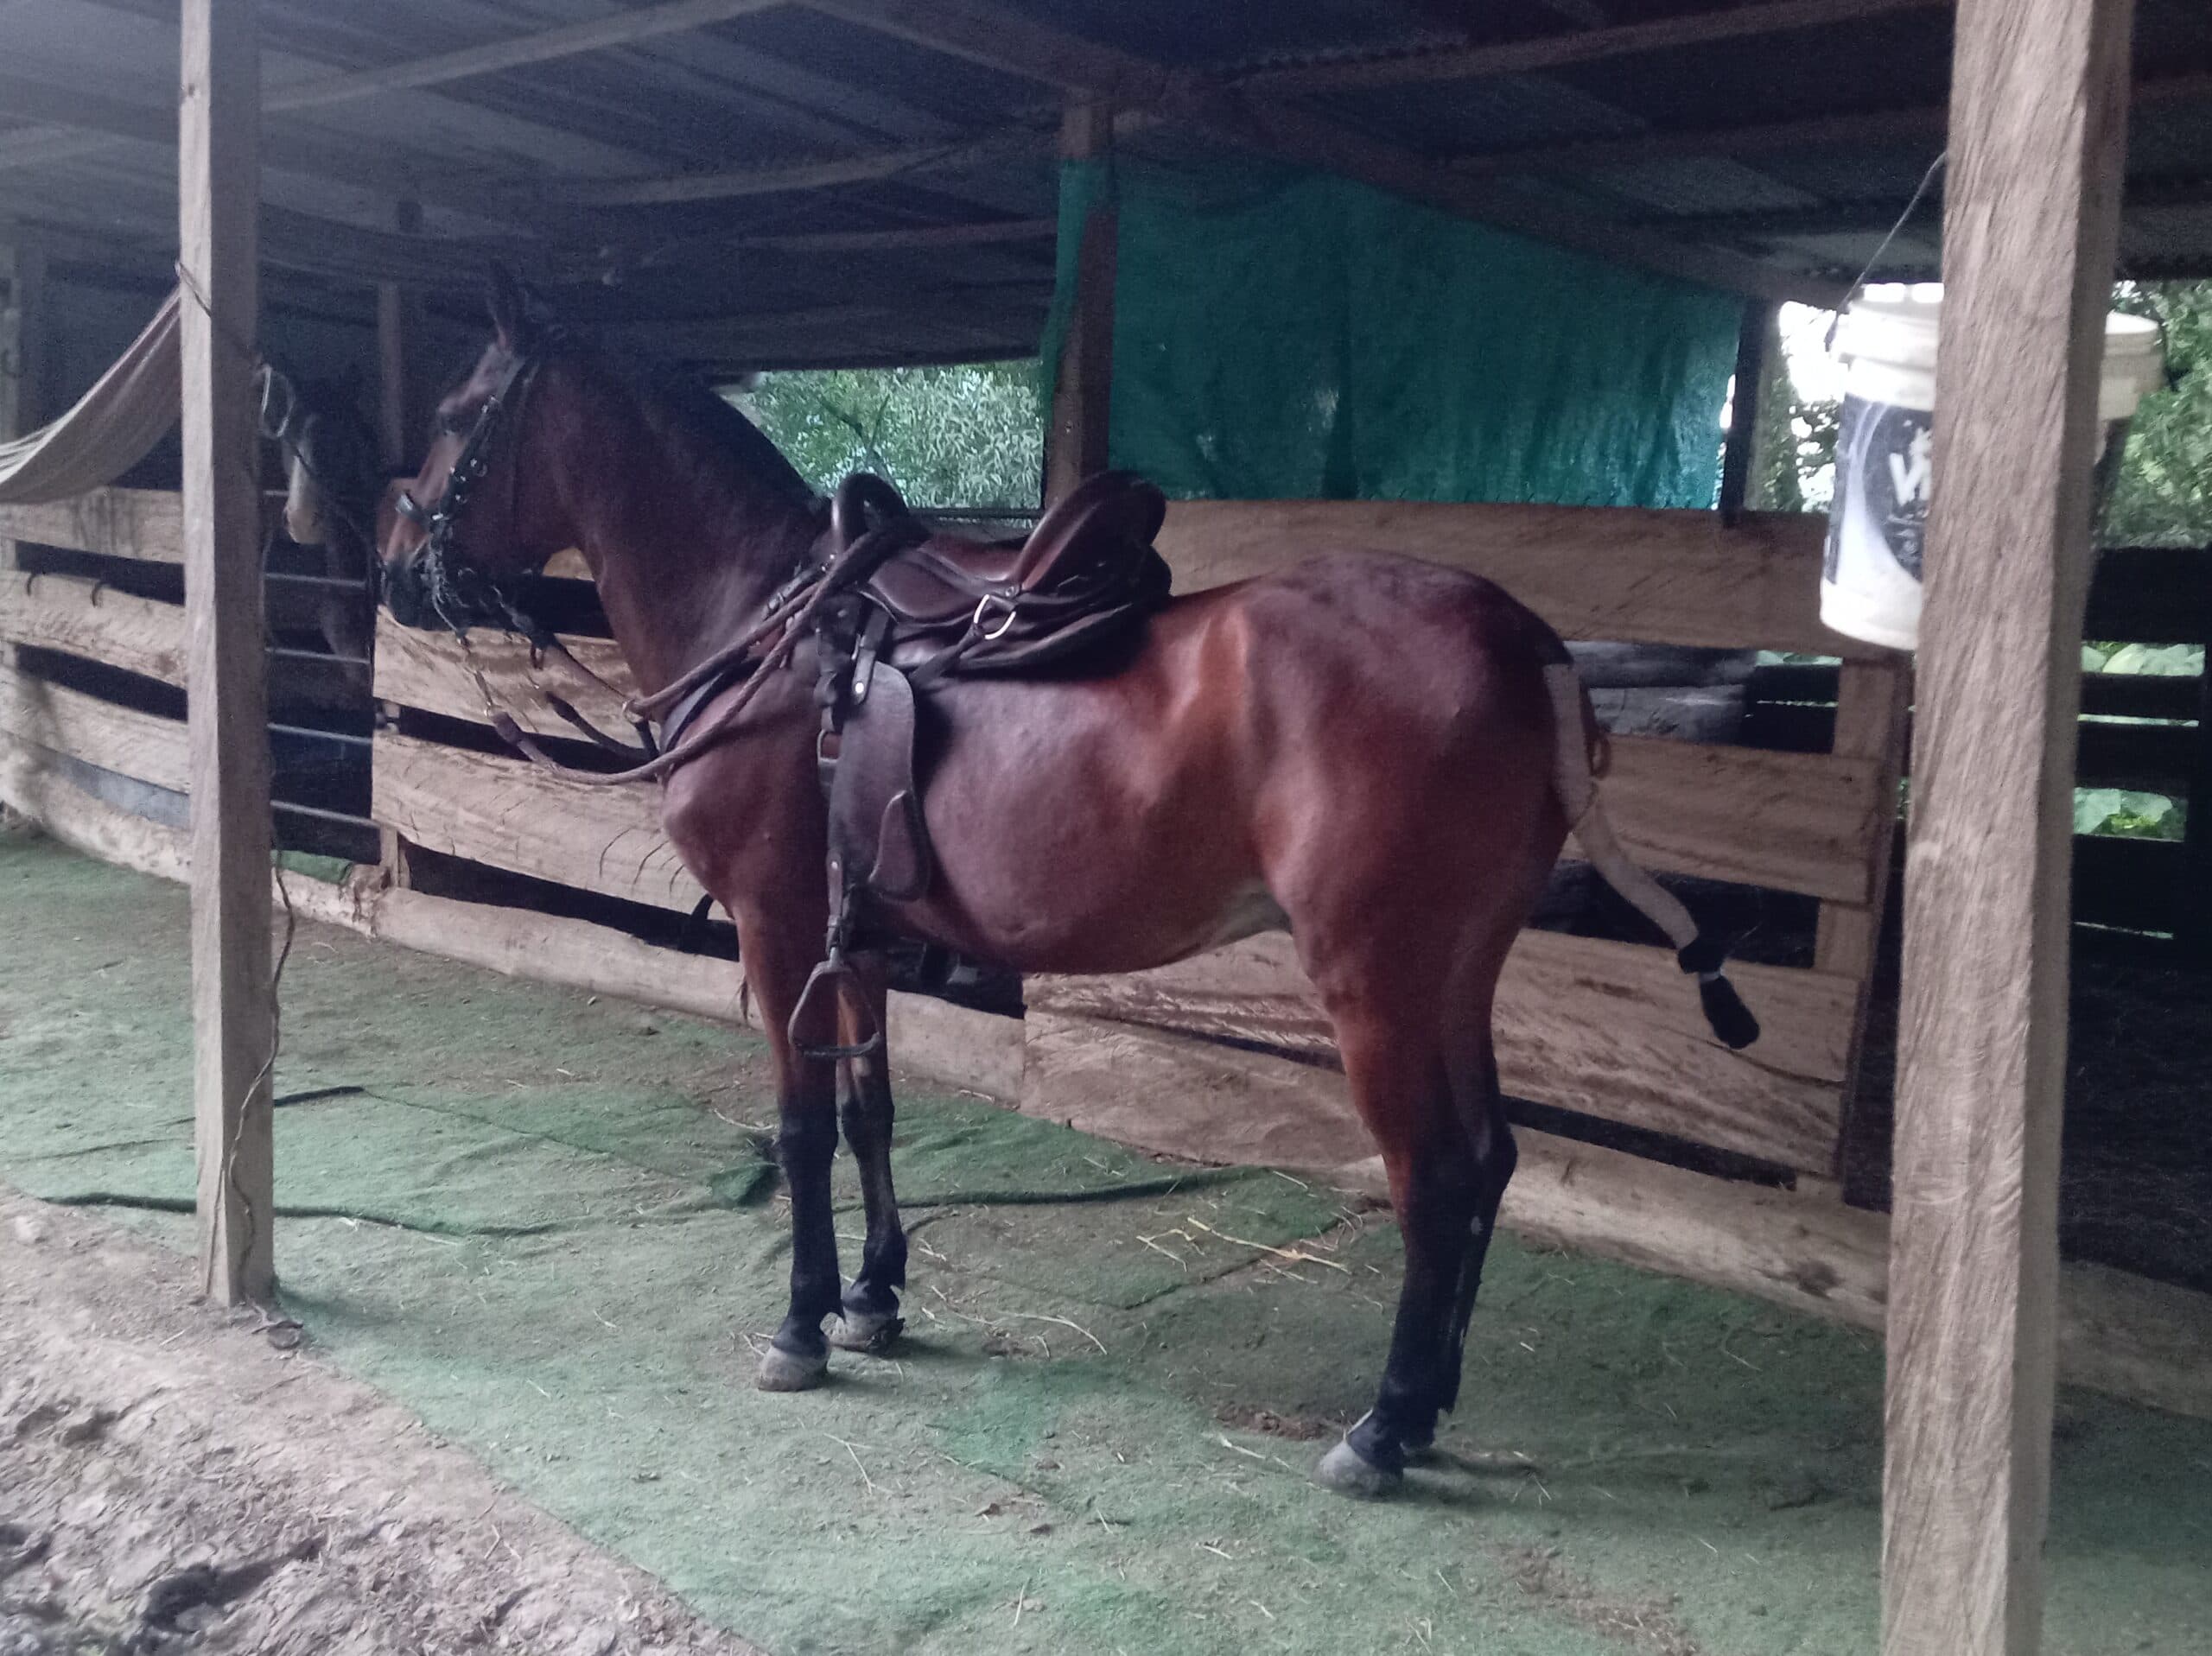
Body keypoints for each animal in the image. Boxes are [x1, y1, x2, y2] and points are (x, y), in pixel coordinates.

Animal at [376, 269, 1756, 1498]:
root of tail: (1527, 644)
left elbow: (802, 1126)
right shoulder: (854, 936)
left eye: (452, 412)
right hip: (1459, 969)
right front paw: (875, 1296)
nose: (391, 563)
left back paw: (1384, 1426)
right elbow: (873, 1113)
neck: (772, 629)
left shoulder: (777, 927)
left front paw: (802, 1326)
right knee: (1494, 1158)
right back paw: (1432, 1405)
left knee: (1438, 1175)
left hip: (1380, 980)